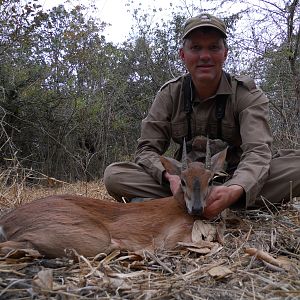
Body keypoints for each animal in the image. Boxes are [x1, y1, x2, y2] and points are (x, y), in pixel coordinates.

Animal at [0, 136, 227, 258]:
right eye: (182, 181)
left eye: (211, 180)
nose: (196, 208)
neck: (179, 206)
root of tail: (6, 221)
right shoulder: (174, 235)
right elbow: (211, 243)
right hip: (90, 235)